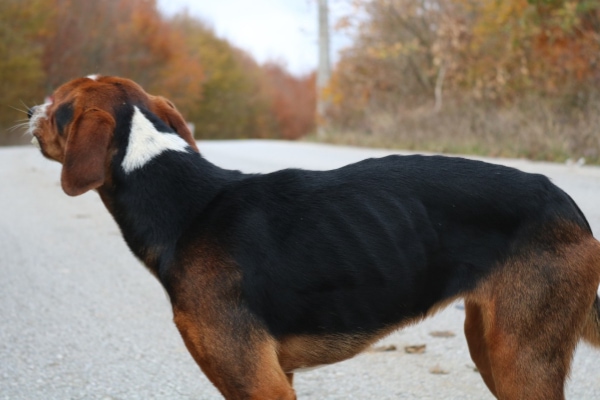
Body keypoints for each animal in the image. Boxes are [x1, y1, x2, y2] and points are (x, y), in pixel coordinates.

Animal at [28, 76, 600, 400]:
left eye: (57, 103)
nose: (30, 109)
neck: (183, 205)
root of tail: (570, 206)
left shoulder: (259, 383)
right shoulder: (277, 376)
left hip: (521, 358)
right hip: (491, 345)